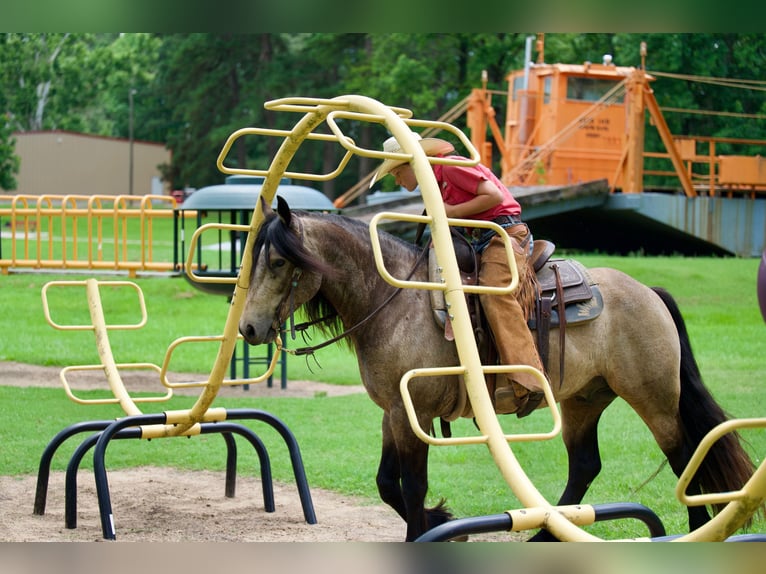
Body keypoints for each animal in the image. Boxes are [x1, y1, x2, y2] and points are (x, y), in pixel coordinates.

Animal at [237, 196, 757, 541]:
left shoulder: (414, 413)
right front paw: (443, 521)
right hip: (584, 400)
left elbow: (412, 483)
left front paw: (425, 530)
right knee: (585, 465)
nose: (248, 327)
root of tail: (649, 292)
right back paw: (545, 535)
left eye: (278, 260)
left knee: (685, 456)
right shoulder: (394, 412)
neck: (395, 300)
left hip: (654, 399)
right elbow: (388, 484)